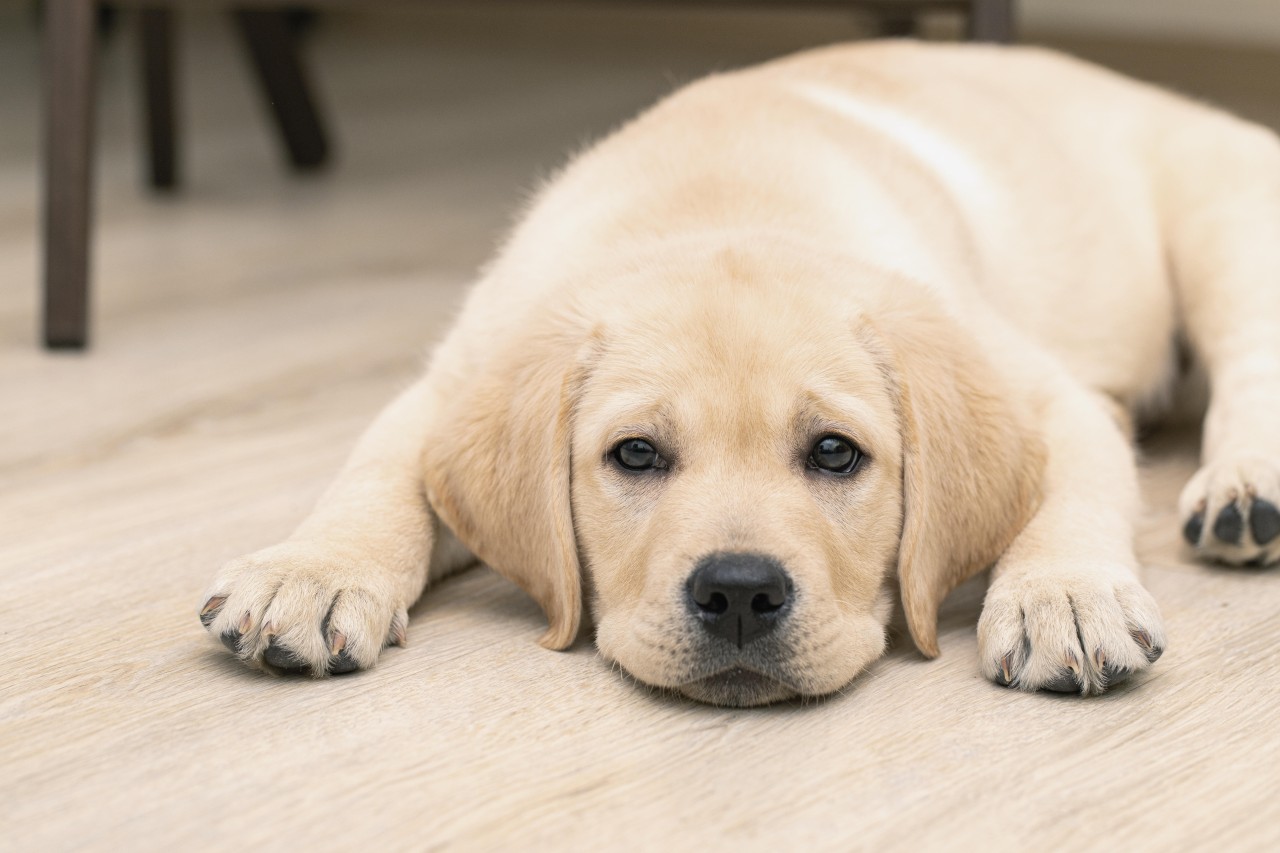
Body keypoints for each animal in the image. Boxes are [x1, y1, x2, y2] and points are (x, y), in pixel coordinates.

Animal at [197, 41, 1280, 701]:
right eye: (634, 455)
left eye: (835, 454)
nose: (739, 594)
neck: (721, 200)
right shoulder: (454, 375)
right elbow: (380, 473)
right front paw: (312, 571)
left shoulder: (1051, 392)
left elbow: (1073, 488)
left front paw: (1064, 593)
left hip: (1223, 222)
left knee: (1249, 354)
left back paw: (1242, 491)